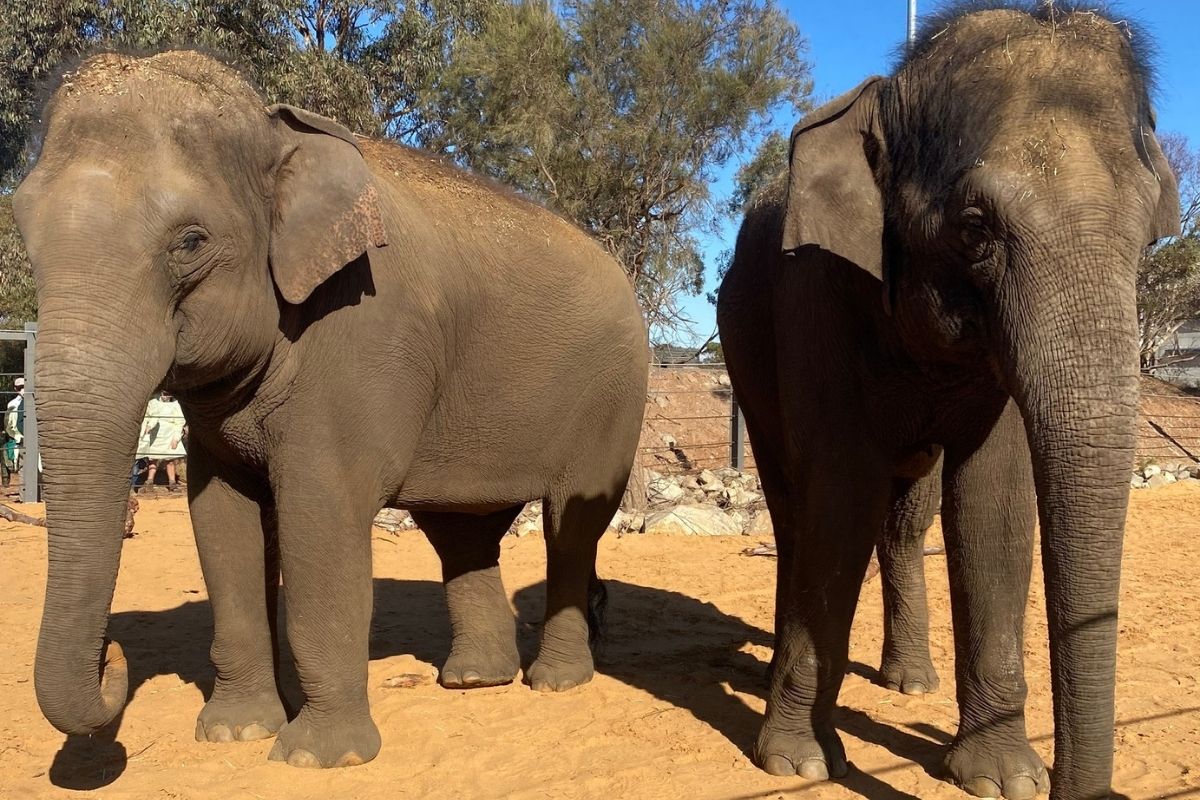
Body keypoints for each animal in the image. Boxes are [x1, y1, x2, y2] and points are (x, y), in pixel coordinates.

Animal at [13, 50, 648, 769]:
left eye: (190, 242)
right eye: (23, 231)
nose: (112, 658)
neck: (278, 131)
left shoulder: (361, 339)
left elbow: (322, 509)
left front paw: (318, 758)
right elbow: (221, 516)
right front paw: (235, 732)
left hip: (612, 396)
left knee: (571, 525)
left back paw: (555, 682)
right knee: (463, 530)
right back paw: (473, 680)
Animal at [717, 5, 1178, 800]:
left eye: (1151, 234)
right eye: (973, 227)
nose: (1075, 787)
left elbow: (993, 499)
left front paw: (1000, 778)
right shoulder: (814, 290)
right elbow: (840, 491)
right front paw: (800, 763)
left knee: (906, 520)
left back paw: (909, 682)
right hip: (747, 358)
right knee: (794, 511)